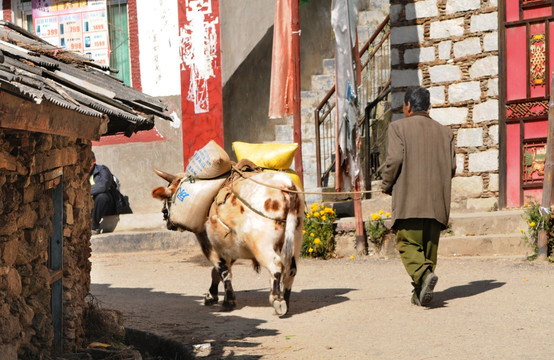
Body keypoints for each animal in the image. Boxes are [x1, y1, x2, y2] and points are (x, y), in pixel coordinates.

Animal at [151, 167, 304, 316]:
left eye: (168, 197)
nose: (165, 216)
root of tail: (285, 184)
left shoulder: (209, 244)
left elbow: (222, 270)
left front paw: (227, 301)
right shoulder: (229, 248)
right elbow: (217, 271)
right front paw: (211, 296)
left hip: (261, 244)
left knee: (276, 265)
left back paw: (278, 300)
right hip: (294, 240)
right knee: (290, 269)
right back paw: (286, 301)